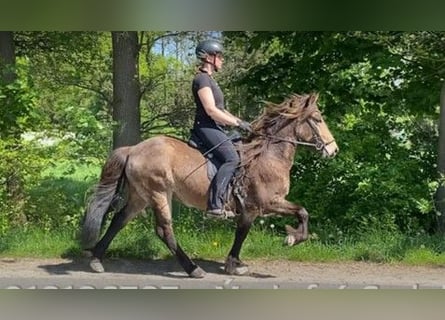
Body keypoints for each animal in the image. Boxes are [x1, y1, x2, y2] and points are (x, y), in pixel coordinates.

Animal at [80, 92, 336, 278]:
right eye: (318, 119)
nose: (333, 149)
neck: (267, 156)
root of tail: (133, 149)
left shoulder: (259, 207)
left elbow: (296, 214)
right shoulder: (261, 205)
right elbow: (289, 216)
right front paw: (289, 239)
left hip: (140, 196)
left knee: (119, 220)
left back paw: (96, 260)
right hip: (159, 193)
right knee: (164, 230)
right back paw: (193, 269)